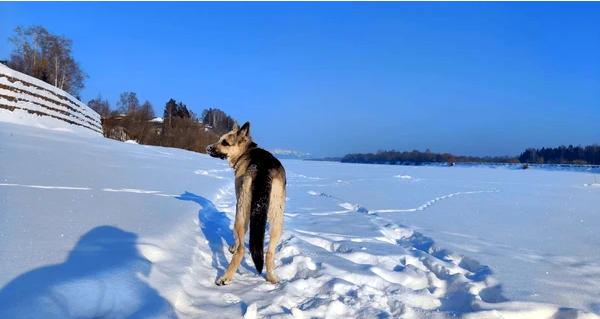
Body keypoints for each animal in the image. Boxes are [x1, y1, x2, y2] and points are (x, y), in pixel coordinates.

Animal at [206, 122, 286, 284]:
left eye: (224, 142)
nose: (208, 147)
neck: (246, 151)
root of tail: (264, 169)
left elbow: (238, 238)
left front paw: (232, 247)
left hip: (241, 213)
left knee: (241, 249)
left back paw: (225, 277)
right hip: (277, 218)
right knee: (269, 252)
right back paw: (271, 277)